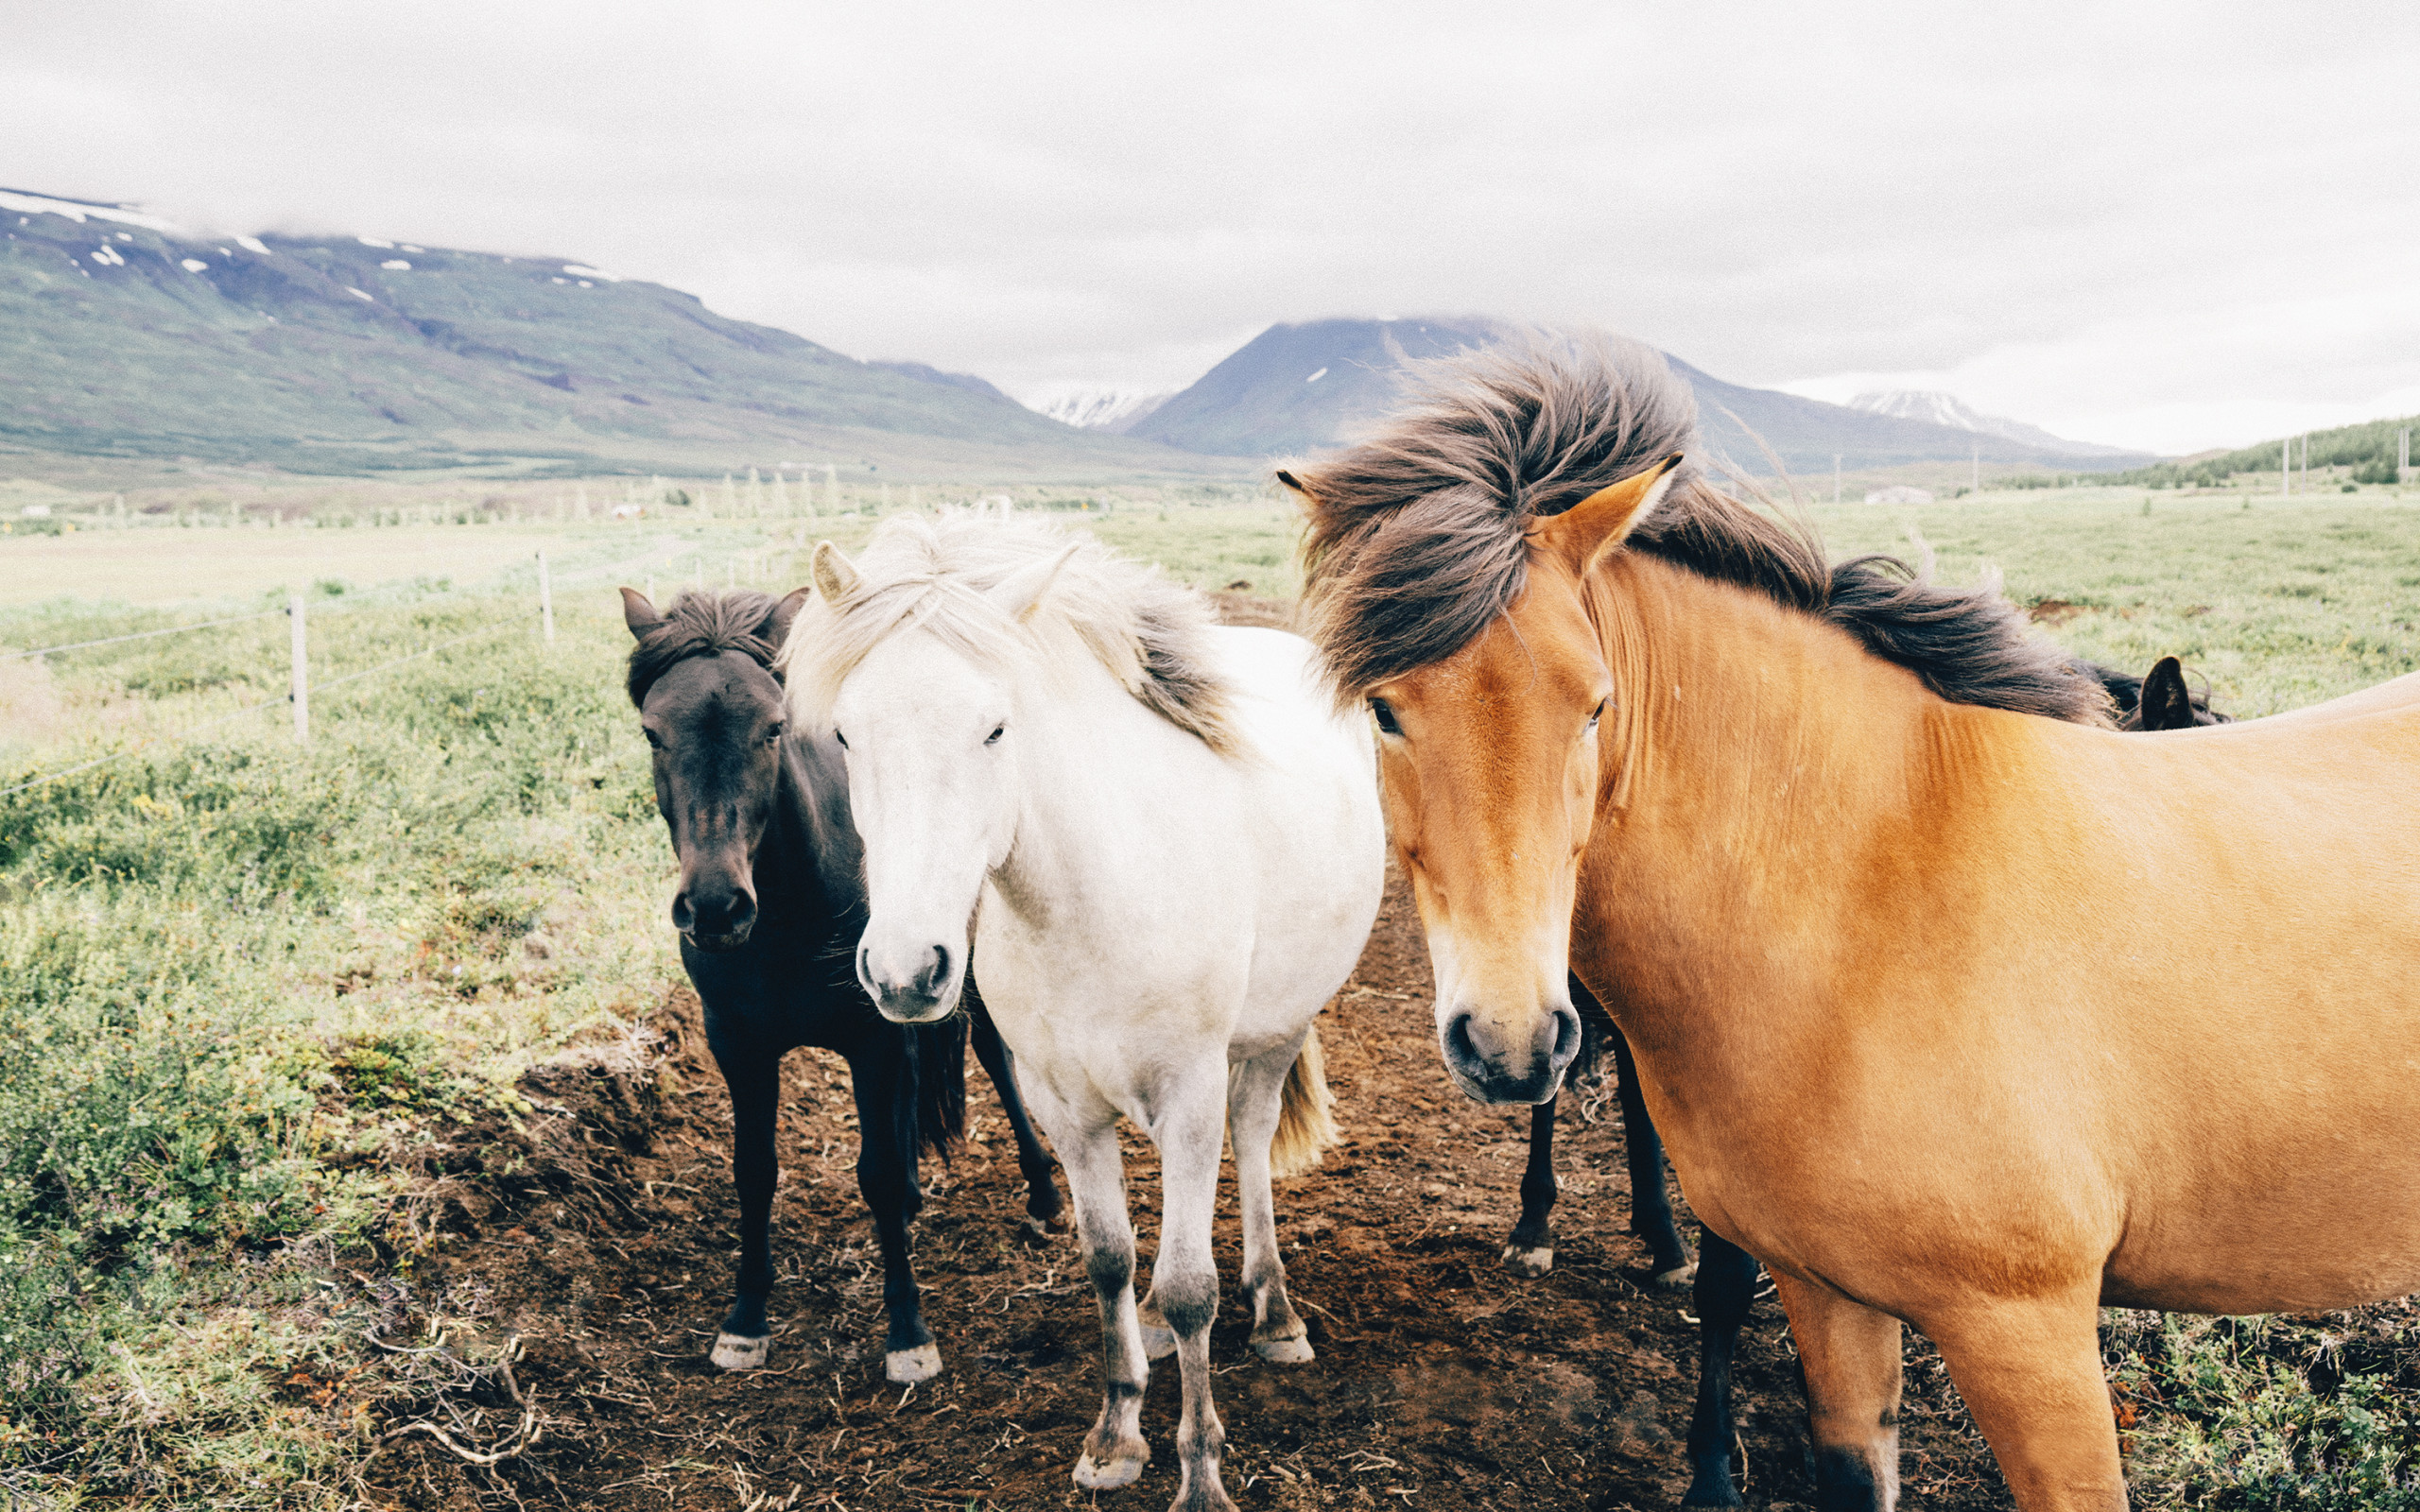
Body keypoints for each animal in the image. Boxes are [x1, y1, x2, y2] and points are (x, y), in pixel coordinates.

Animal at [621, 586, 1063, 1384]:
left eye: (773, 727)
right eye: (652, 733)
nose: (715, 907)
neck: (787, 917)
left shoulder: (872, 1036)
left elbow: (879, 1172)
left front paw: (908, 1333)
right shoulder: (737, 1045)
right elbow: (754, 1171)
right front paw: (745, 1321)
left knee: (993, 1056)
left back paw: (1043, 1195)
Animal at [783, 513, 1385, 1512]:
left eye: (995, 728)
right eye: (845, 736)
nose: (906, 971)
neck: (1091, 896)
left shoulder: (1189, 1097)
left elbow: (1190, 1285)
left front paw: (1200, 1475)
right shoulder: (1061, 1107)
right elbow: (1108, 1260)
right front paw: (1114, 1435)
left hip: (1274, 1036)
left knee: (1255, 1139)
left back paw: (1276, 1311)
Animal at [1286, 334, 2420, 1511]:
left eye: (1595, 704)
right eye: (1381, 709)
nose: (1507, 1035)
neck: (1872, 901)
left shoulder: (2021, 1328)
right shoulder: (1836, 1290)